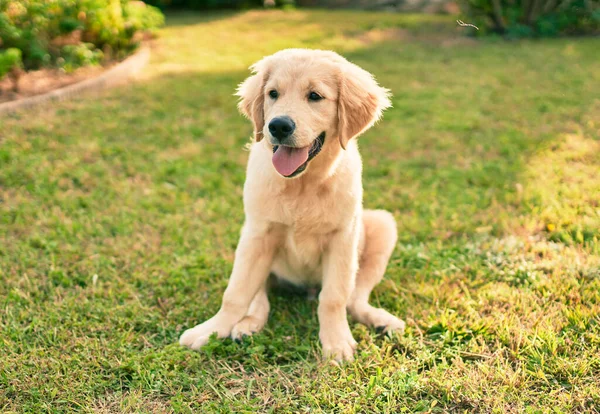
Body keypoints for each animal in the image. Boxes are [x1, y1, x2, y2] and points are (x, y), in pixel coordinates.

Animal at [178, 48, 404, 360]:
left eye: (315, 96)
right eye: (273, 93)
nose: (278, 126)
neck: (302, 184)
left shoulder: (343, 238)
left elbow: (334, 297)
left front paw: (336, 342)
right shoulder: (258, 232)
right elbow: (236, 293)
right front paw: (211, 330)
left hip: (382, 225)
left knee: (354, 298)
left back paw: (382, 320)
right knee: (258, 296)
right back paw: (247, 325)